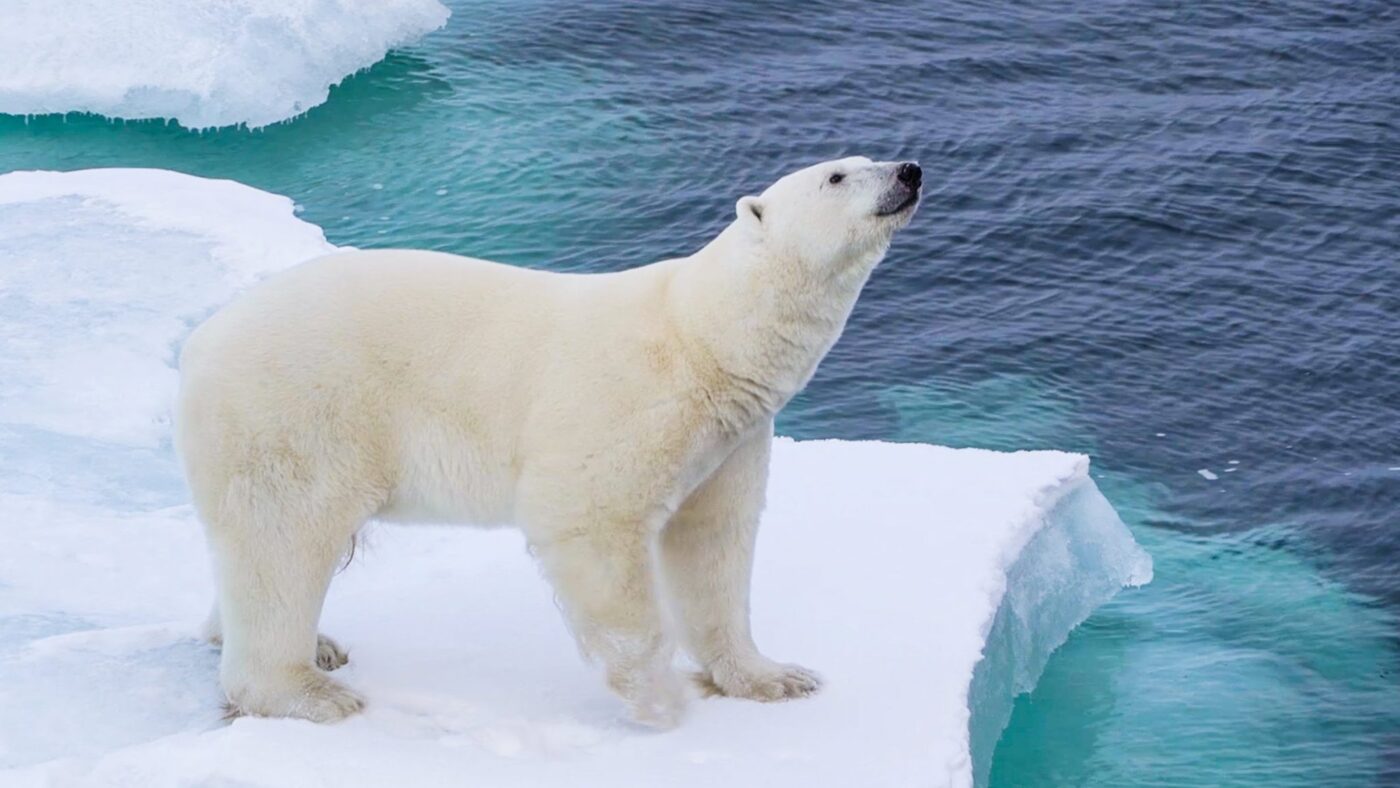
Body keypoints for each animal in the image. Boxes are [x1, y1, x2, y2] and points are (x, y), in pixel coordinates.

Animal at [172, 153, 918, 727]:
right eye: (837, 175)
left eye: (865, 158)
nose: (909, 170)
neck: (701, 335)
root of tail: (200, 343)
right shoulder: (630, 400)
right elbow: (593, 523)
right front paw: (658, 700)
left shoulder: (729, 438)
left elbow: (714, 545)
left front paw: (773, 677)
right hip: (295, 411)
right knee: (285, 540)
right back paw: (308, 689)